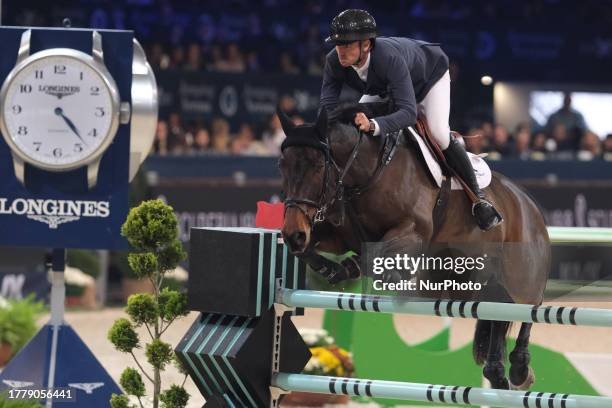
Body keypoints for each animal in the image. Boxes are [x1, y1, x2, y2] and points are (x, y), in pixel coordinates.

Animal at [278, 101, 548, 388]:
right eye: (282, 165)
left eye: (317, 165)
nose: (294, 233)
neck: (368, 173)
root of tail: (528, 203)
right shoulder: (339, 235)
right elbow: (314, 250)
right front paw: (337, 268)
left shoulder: (414, 229)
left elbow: (380, 253)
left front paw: (374, 270)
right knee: (497, 314)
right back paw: (497, 373)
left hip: (521, 278)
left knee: (527, 310)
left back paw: (520, 370)